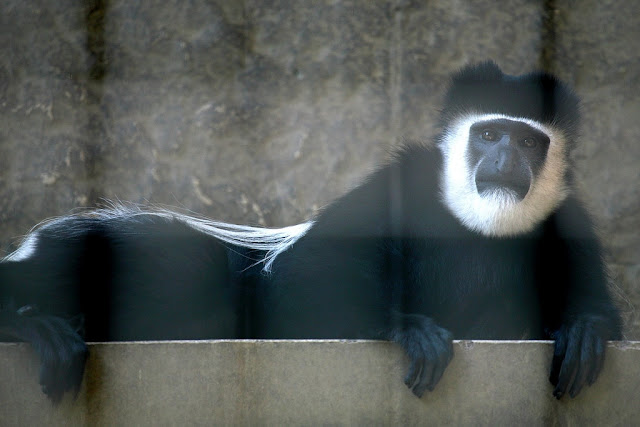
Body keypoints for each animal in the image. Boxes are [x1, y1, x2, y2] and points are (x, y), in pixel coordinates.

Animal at [0, 60, 620, 402]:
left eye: (529, 142)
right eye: (489, 134)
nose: (504, 161)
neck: (477, 224)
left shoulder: (570, 225)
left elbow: (604, 320)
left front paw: (583, 330)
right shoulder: (401, 185)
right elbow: (307, 275)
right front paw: (409, 328)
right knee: (178, 263)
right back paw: (36, 326)